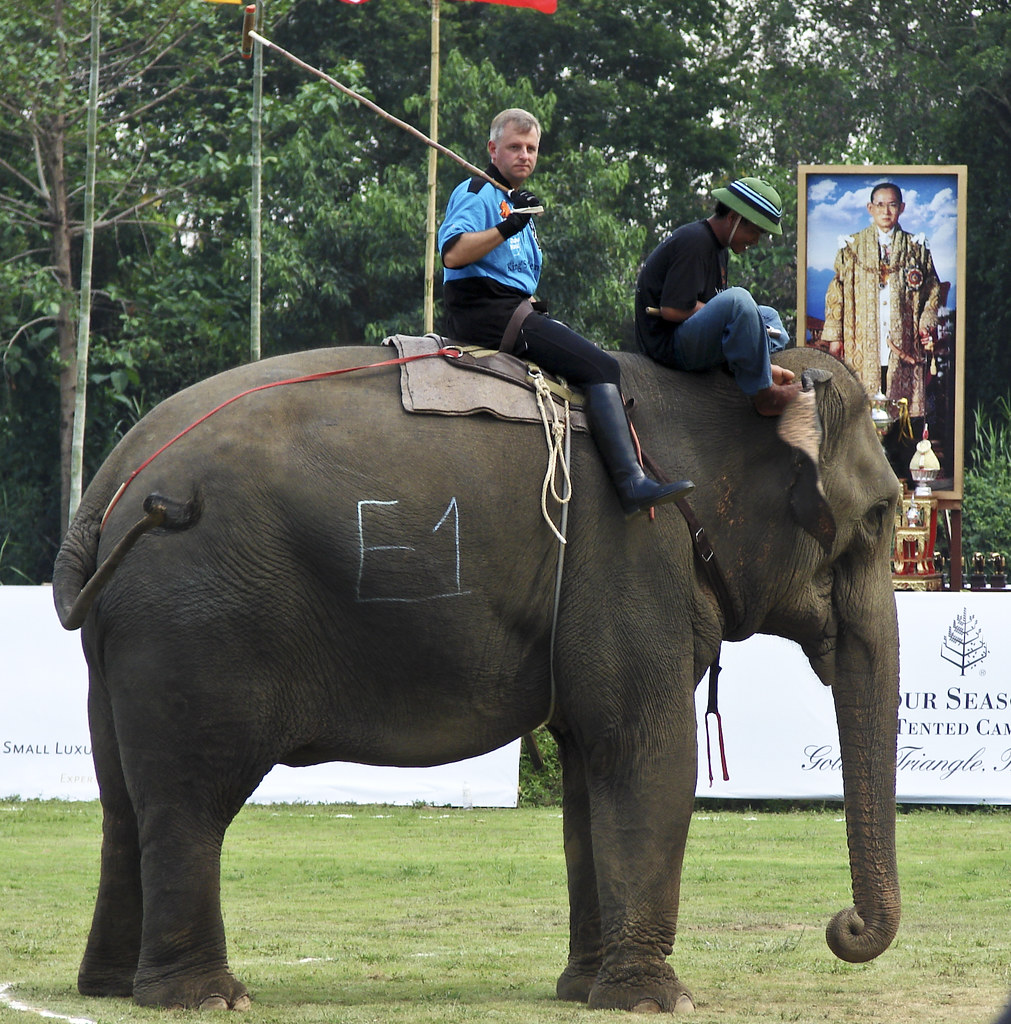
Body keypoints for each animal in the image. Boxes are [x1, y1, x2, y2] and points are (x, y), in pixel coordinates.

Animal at [52, 341, 902, 1013]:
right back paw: (205, 997)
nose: (842, 927)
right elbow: (645, 757)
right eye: (881, 516)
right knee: (189, 802)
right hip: (198, 622)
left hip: (124, 642)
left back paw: (110, 988)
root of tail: (109, 485)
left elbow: (590, 773)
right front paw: (654, 1003)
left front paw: (582, 990)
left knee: (123, 804)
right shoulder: (635, 554)